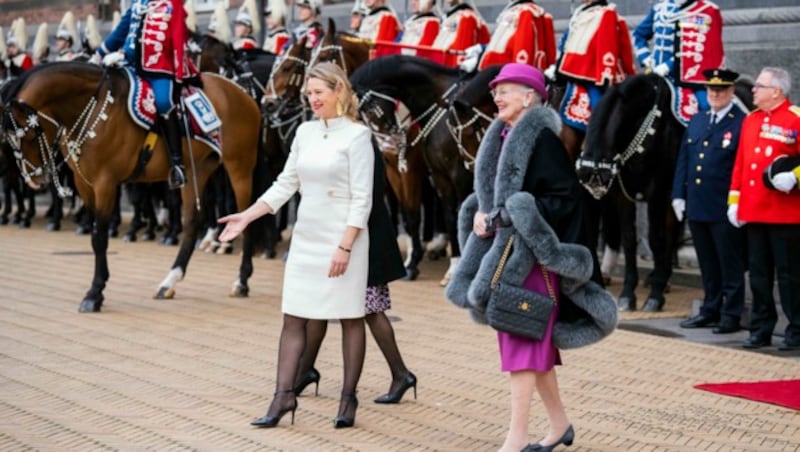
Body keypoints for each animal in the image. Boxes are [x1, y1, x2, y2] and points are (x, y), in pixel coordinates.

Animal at [2, 61, 268, 312]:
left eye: (28, 136)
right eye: (9, 141)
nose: (35, 178)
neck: (95, 106)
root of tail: (241, 92)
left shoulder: (105, 182)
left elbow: (99, 237)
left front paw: (94, 293)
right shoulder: (84, 184)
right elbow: (95, 233)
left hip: (239, 166)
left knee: (246, 217)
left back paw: (241, 281)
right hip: (196, 171)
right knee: (194, 221)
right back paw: (169, 281)